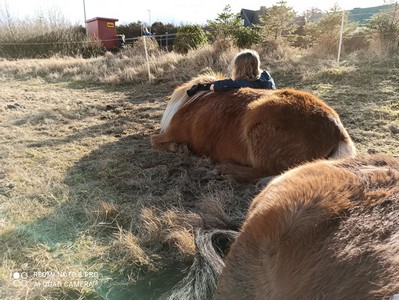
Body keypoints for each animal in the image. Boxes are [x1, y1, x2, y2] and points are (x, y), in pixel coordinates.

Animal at [152, 74, 358, 183]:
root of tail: (336, 129)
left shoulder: (172, 132)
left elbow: (153, 140)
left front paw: (179, 148)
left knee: (264, 171)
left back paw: (225, 170)